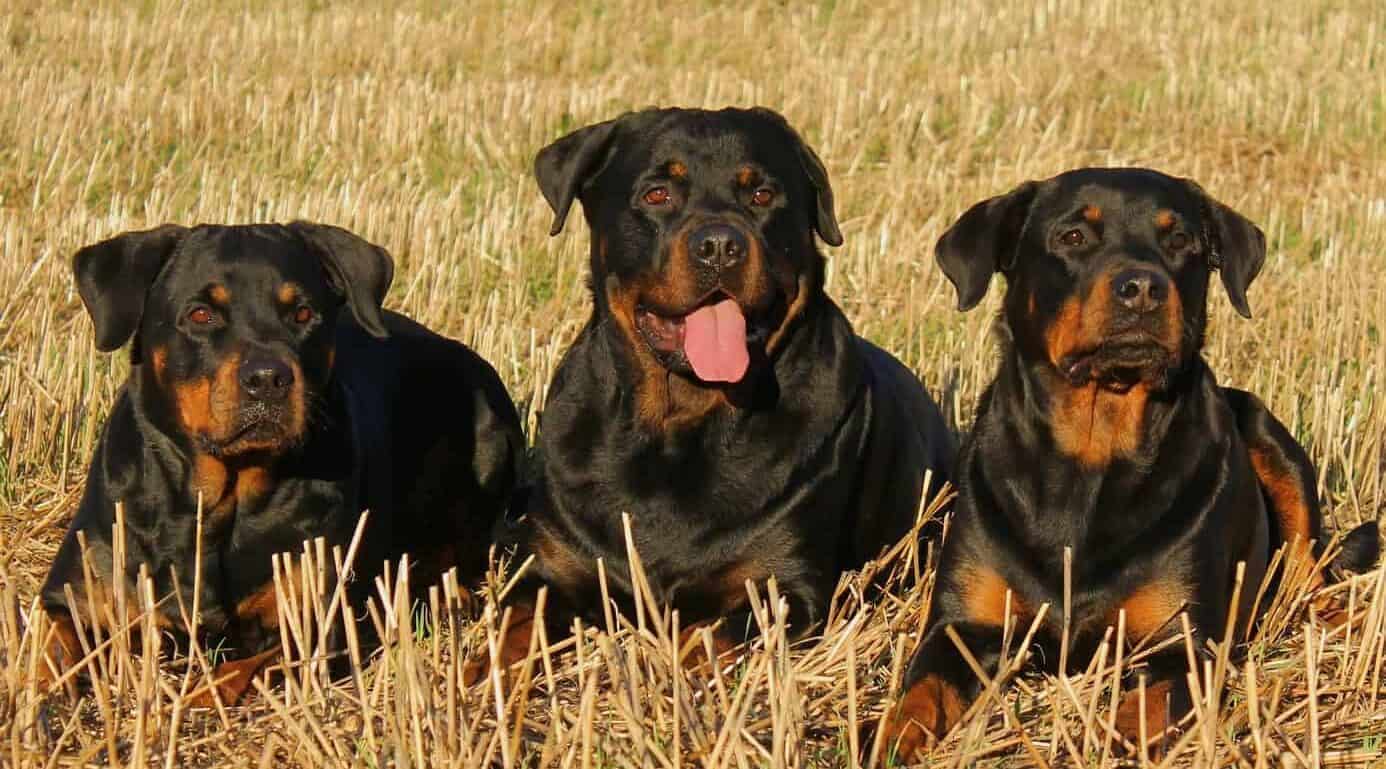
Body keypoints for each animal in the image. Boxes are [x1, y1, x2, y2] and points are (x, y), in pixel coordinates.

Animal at [41, 223, 523, 703]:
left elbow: (235, 672)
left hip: (489, 435)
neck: (219, 498)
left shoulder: (313, 625)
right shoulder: (76, 592)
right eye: (200, 315)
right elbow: (49, 644)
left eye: (303, 314)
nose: (268, 378)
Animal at [471, 106, 959, 678]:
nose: (720, 246)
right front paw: (479, 676)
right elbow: (511, 625)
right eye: (657, 194)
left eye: (762, 195)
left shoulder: (785, 588)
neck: (679, 425)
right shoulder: (552, 564)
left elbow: (706, 638)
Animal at [870, 166, 1380, 759]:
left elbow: (1147, 712)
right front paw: (886, 738)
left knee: (1309, 573)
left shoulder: (1178, 642)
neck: (1093, 451)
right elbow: (919, 696)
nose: (1142, 287)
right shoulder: (961, 626)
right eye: (1073, 237)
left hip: (1270, 439)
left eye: (1180, 240)